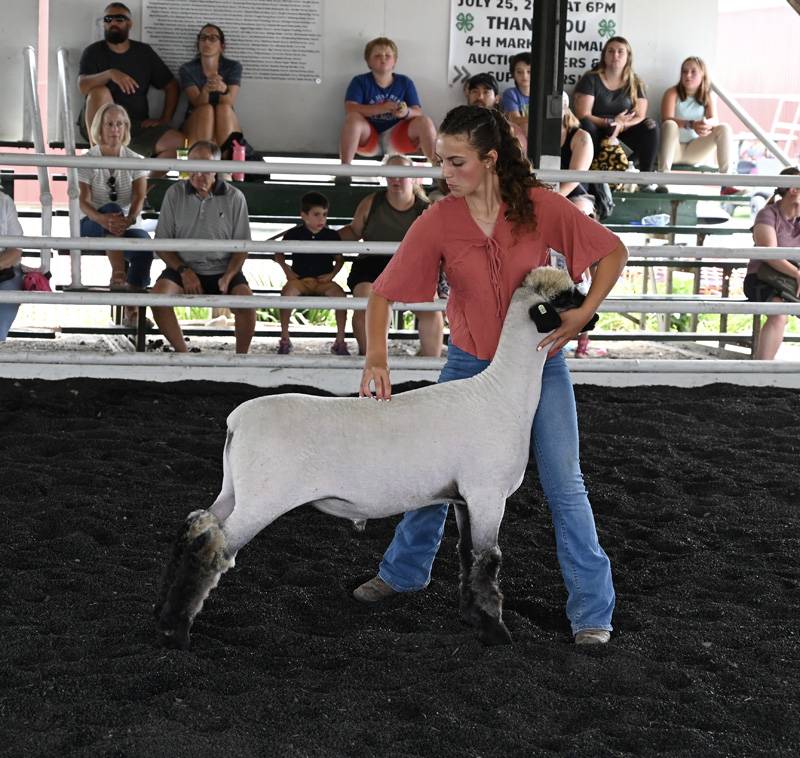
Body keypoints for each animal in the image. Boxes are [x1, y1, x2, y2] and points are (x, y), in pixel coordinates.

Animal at [153, 266, 584, 648]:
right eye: (566, 299)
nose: (592, 314)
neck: (503, 393)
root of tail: (237, 420)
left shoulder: (464, 499)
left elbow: (466, 558)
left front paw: (473, 618)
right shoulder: (487, 494)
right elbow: (486, 562)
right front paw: (496, 633)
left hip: (234, 492)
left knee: (196, 528)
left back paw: (163, 616)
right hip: (261, 499)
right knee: (212, 549)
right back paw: (176, 633)